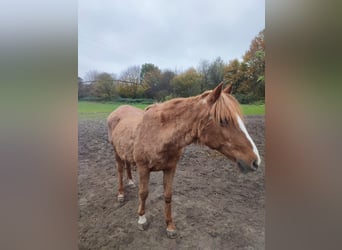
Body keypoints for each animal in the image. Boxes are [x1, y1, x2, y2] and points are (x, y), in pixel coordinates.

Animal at [132, 82, 260, 238]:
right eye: (223, 120)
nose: (255, 161)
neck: (157, 132)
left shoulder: (170, 168)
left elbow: (168, 196)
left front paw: (170, 226)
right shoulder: (143, 167)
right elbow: (143, 193)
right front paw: (142, 220)